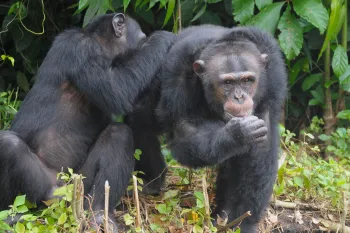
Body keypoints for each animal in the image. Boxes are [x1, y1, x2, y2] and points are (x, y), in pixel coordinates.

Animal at [0, 12, 175, 231]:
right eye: (143, 40)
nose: (146, 40)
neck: (102, 46)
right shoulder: (79, 48)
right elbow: (116, 89)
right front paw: (164, 38)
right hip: (48, 189)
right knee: (9, 145)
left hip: (79, 184)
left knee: (117, 135)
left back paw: (99, 214)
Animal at [157, 25, 288, 231]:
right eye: (227, 83)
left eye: (247, 80)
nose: (239, 97)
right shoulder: (177, 75)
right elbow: (185, 129)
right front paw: (238, 134)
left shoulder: (273, 77)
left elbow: (260, 149)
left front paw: (242, 221)